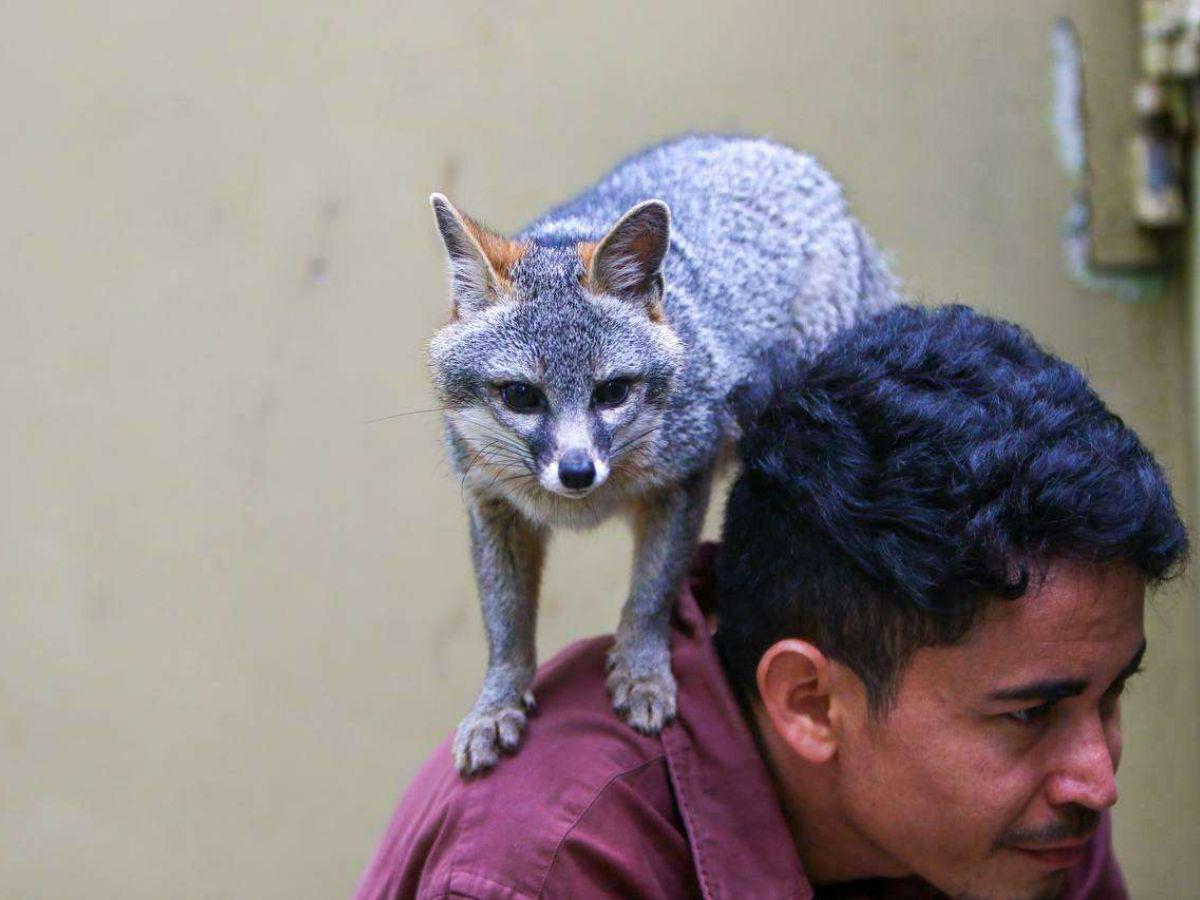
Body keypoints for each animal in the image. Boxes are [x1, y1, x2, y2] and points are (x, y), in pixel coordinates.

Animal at [427, 134, 898, 774]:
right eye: (521, 396)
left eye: (613, 392)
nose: (577, 472)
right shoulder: (491, 504)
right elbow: (504, 623)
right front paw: (496, 702)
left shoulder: (683, 478)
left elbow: (650, 593)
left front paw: (643, 670)